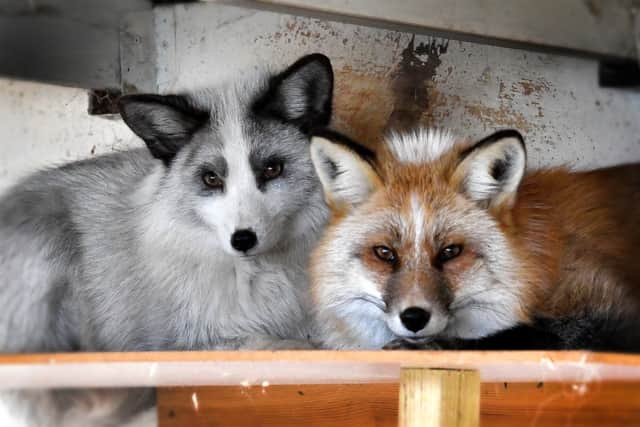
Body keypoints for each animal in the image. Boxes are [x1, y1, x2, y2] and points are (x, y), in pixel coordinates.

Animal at [308, 128, 640, 351]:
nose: (414, 318)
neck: (537, 261)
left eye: (451, 251)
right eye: (384, 253)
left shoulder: (610, 306)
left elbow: (526, 334)